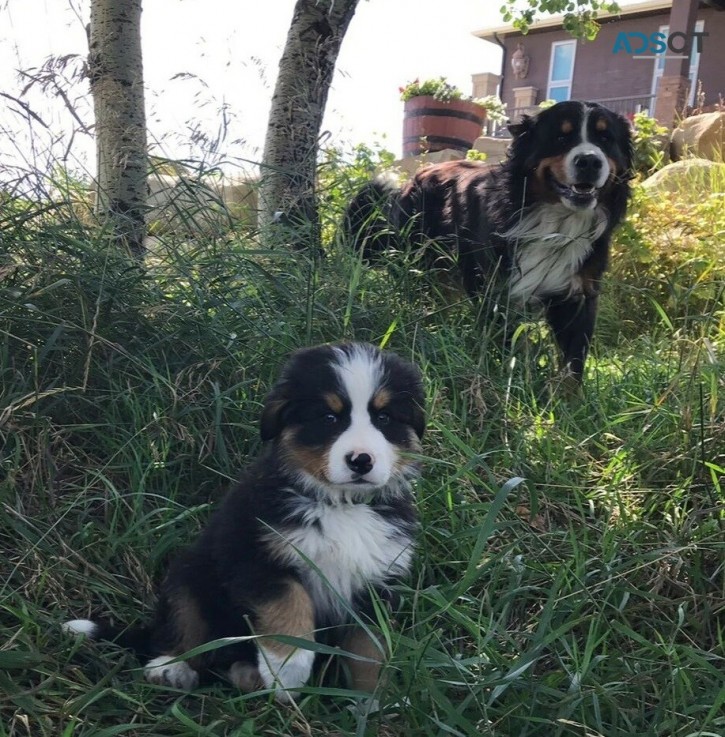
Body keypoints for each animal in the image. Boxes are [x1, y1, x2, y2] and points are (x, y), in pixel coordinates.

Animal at [63, 344, 424, 700]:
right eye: (329, 418)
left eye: (384, 418)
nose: (361, 461)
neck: (340, 505)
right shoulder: (254, 553)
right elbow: (289, 604)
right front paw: (288, 669)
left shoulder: (378, 581)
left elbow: (371, 649)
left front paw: (375, 701)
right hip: (189, 575)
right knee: (183, 627)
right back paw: (171, 668)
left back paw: (246, 674)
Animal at [342, 100, 632, 382]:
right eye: (562, 137)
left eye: (605, 138)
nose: (590, 161)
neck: (555, 222)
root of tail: (414, 177)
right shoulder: (494, 288)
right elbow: (510, 344)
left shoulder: (579, 295)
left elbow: (572, 366)